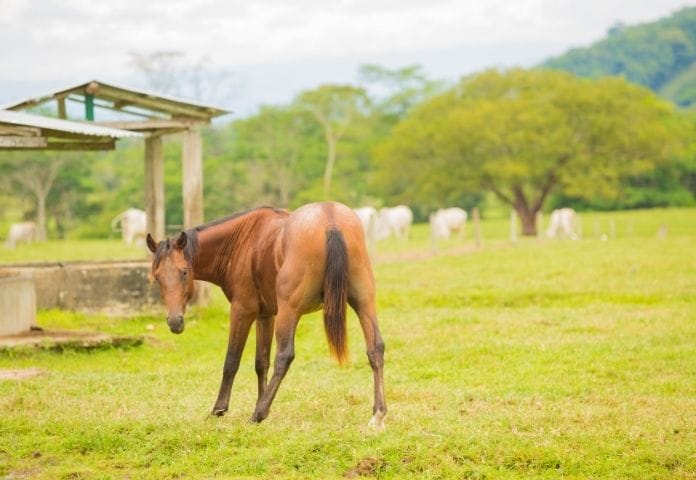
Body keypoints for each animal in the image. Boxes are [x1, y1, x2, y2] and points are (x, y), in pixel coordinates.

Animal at [146, 202, 386, 428]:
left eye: (184, 272)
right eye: (157, 277)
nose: (175, 321)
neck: (242, 240)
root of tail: (330, 221)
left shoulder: (242, 311)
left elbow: (231, 361)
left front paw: (220, 409)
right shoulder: (266, 316)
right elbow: (261, 362)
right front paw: (261, 403)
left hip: (290, 312)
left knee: (284, 356)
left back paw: (257, 414)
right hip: (363, 302)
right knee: (375, 348)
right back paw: (378, 414)